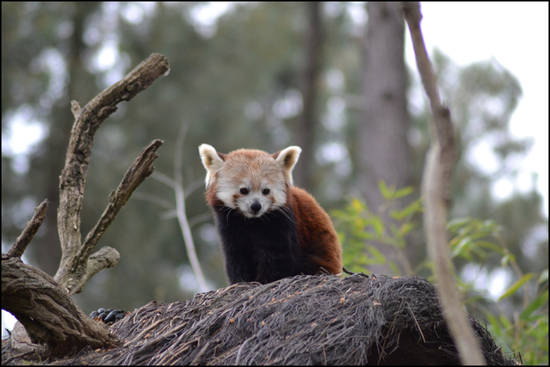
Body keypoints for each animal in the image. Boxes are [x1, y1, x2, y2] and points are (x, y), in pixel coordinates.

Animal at [201, 144, 342, 284]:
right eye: (244, 190)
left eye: (266, 191)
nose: (256, 206)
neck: (252, 221)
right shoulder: (229, 226)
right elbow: (237, 255)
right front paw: (241, 280)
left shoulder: (283, 223)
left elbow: (277, 257)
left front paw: (266, 280)